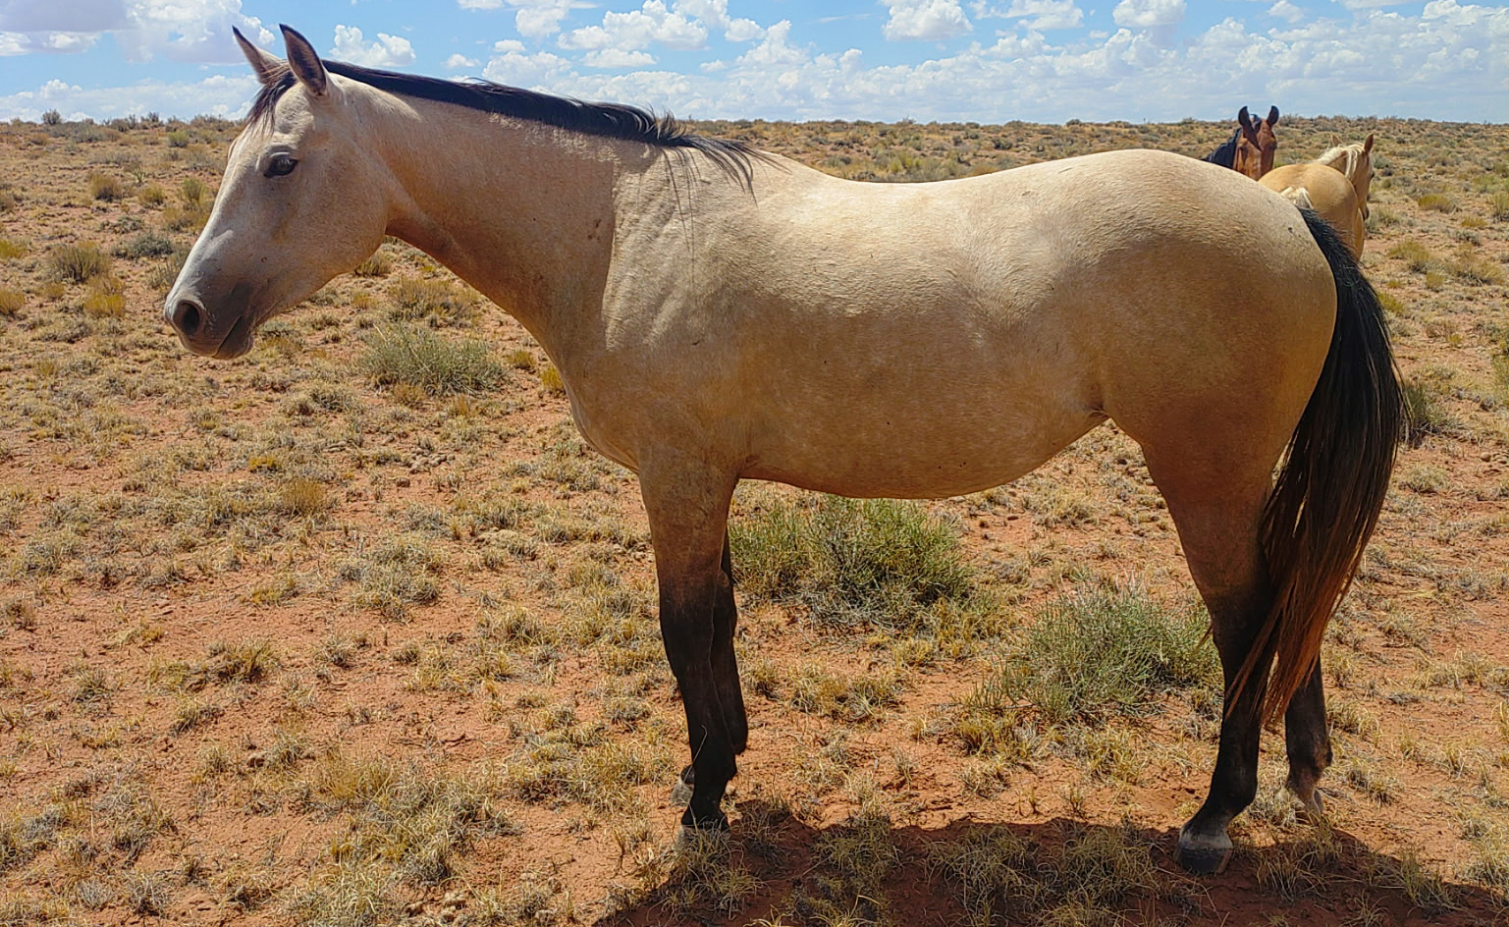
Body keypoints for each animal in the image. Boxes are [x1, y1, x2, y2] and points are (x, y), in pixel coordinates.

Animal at [165, 26, 1403, 876]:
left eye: (280, 164)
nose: (186, 313)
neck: (618, 231)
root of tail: (1291, 219)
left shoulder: (679, 478)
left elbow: (686, 629)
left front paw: (705, 798)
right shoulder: (703, 481)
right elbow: (716, 623)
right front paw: (714, 766)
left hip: (1205, 478)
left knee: (1250, 623)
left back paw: (1213, 818)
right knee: (1288, 612)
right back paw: (1299, 776)